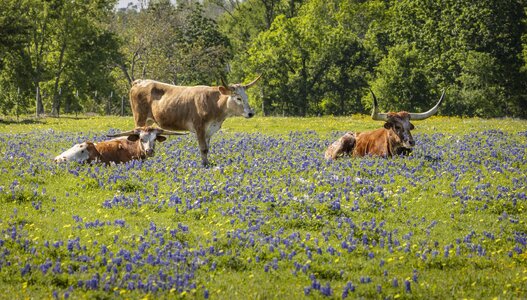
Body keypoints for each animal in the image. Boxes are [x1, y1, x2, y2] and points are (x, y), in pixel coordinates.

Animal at [130, 75, 262, 166]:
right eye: (238, 98)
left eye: (246, 97)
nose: (251, 113)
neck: (214, 103)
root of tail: (140, 82)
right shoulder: (200, 128)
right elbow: (203, 148)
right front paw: (204, 165)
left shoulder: (209, 131)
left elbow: (207, 149)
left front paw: (207, 163)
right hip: (140, 118)